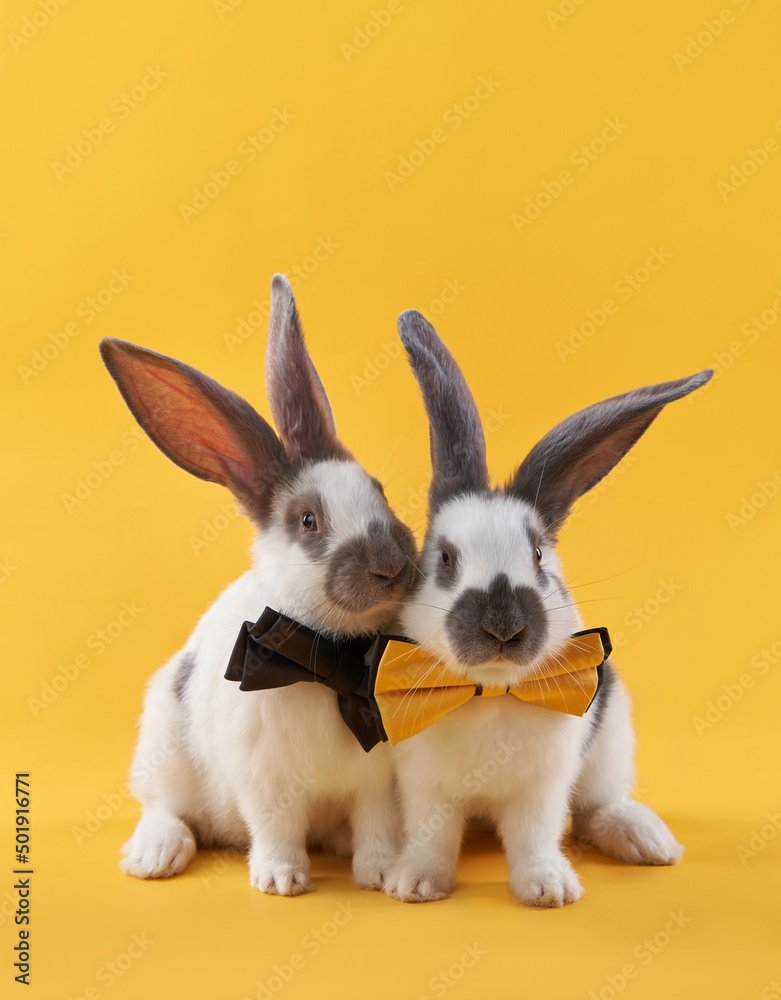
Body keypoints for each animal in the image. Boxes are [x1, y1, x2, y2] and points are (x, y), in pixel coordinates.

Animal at [99, 276, 414, 900]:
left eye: (380, 491)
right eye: (308, 521)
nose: (392, 568)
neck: (327, 659)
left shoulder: (380, 781)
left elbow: (376, 825)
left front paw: (379, 873)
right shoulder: (265, 782)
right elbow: (276, 828)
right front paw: (281, 880)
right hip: (163, 748)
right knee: (164, 807)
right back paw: (154, 856)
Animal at [384, 310, 712, 908]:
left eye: (538, 555)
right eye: (444, 559)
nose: (502, 627)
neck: (491, 691)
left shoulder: (544, 787)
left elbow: (537, 834)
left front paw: (548, 888)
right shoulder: (424, 785)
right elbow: (431, 834)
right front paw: (415, 883)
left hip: (612, 741)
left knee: (600, 806)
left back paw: (648, 841)